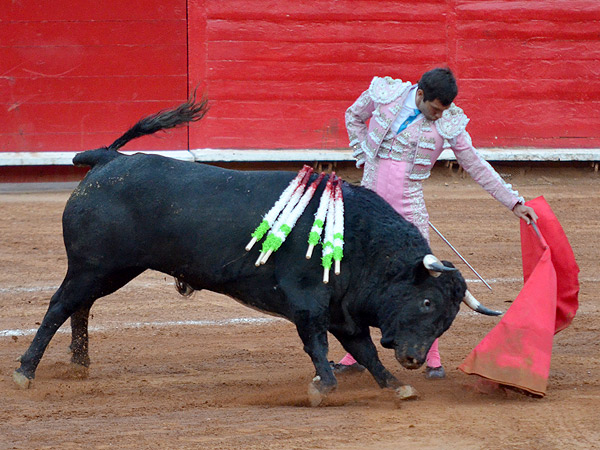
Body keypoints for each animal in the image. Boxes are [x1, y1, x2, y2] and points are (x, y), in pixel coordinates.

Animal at [13, 95, 500, 406]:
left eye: (447, 319)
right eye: (427, 301)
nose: (415, 359)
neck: (363, 243)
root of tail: (107, 160)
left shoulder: (344, 311)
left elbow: (364, 350)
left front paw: (396, 384)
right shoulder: (309, 304)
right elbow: (318, 344)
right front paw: (323, 387)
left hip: (107, 271)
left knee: (80, 308)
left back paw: (79, 363)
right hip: (93, 266)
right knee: (59, 307)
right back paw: (26, 371)